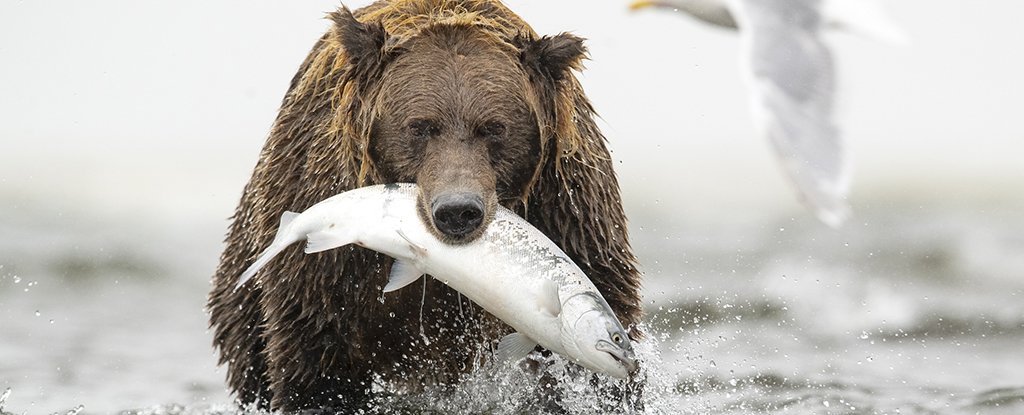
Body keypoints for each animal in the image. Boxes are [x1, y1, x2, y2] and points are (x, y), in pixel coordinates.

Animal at [205, 0, 638, 409]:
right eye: (420, 126)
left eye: (494, 127)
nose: (458, 210)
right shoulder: (329, 248)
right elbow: (316, 351)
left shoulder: (567, 208)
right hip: (245, 287)